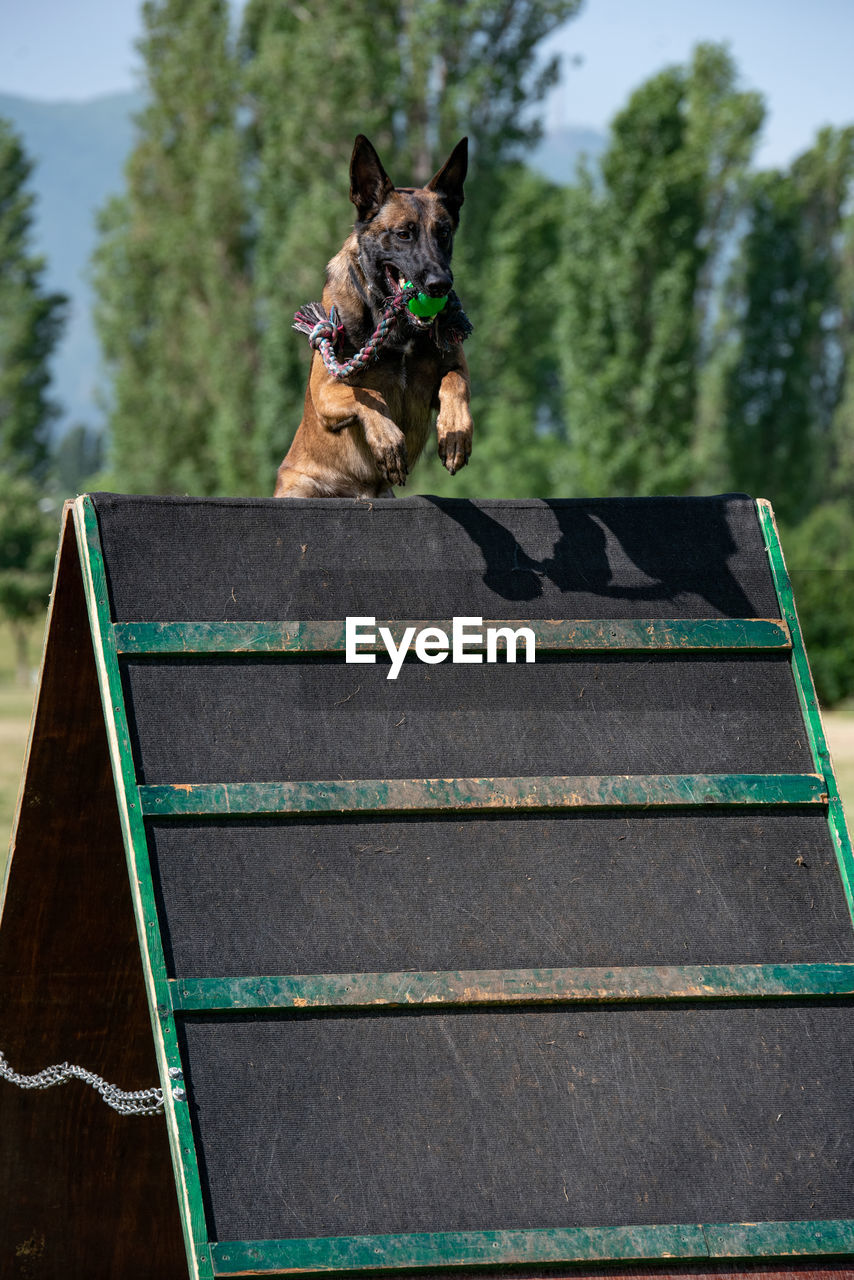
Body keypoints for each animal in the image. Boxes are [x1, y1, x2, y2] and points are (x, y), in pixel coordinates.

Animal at [273, 136, 473, 499]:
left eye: (444, 234)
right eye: (404, 234)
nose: (440, 285)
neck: (397, 328)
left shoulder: (455, 367)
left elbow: (455, 383)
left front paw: (455, 433)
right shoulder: (324, 391)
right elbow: (368, 396)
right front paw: (387, 439)